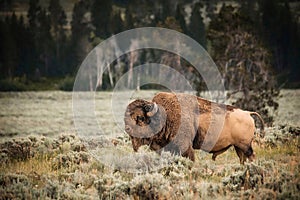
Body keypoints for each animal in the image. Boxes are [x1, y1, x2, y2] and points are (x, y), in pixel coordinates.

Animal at [123, 92, 264, 164]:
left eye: (140, 117)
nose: (127, 129)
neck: (165, 115)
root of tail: (247, 113)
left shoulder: (185, 147)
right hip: (238, 147)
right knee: (243, 158)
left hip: (245, 146)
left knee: (251, 156)